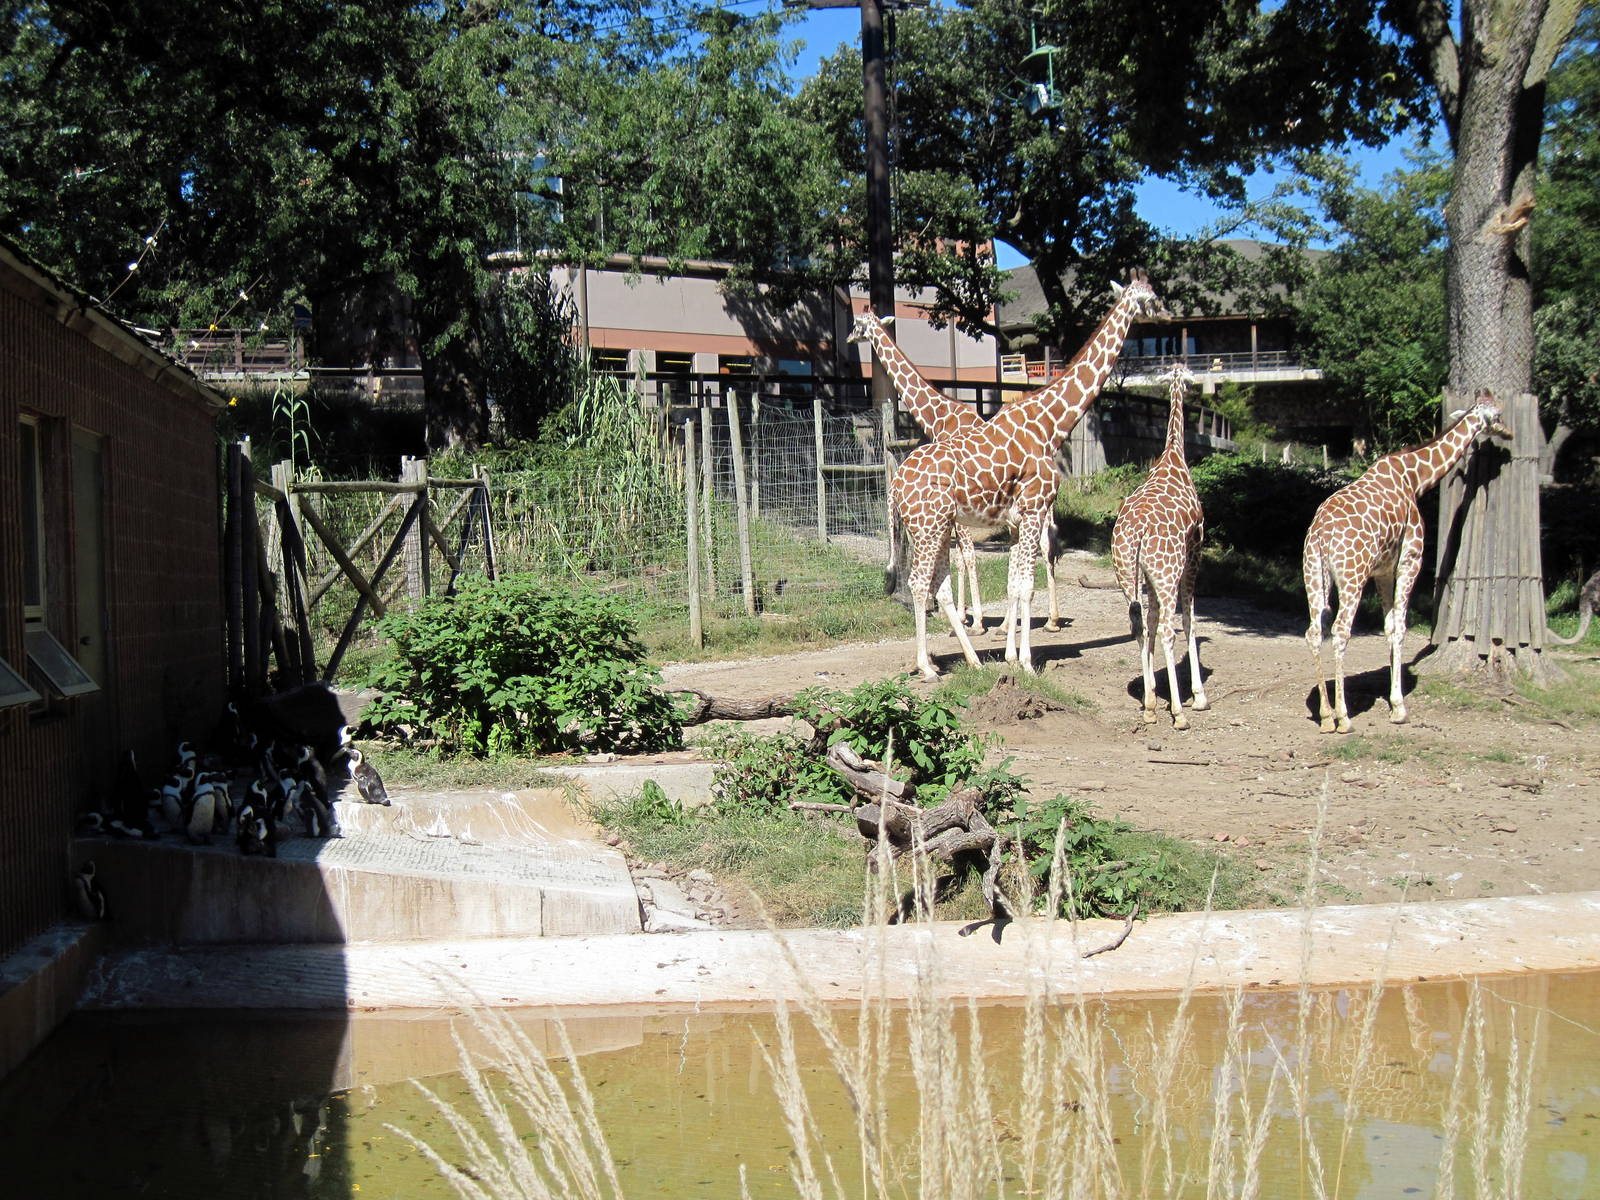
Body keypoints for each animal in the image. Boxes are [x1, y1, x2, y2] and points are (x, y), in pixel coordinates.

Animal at [846, 311, 1063, 634]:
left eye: (858, 324)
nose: (849, 337)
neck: (940, 416)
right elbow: (961, 557)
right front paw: (964, 617)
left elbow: (966, 558)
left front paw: (973, 621)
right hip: (1033, 510)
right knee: (1045, 548)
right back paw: (1048, 620)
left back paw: (1013, 623)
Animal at [891, 270, 1167, 679]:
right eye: (1150, 297)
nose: (1165, 315)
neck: (1050, 425)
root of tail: (895, 485)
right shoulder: (1034, 508)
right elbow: (1023, 585)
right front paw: (1024, 662)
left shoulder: (1021, 517)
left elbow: (1016, 584)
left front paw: (1010, 655)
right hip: (930, 527)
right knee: (920, 581)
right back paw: (928, 667)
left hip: (930, 528)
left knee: (935, 582)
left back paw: (965, 659)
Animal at [1111, 361, 1208, 729]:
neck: (1174, 455)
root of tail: (1137, 531)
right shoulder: (1193, 556)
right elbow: (1190, 620)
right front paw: (1199, 697)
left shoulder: (1150, 578)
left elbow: (1149, 621)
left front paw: (1153, 692)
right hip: (1167, 572)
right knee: (1168, 628)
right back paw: (1179, 713)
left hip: (1126, 571)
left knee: (1139, 624)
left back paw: (1151, 704)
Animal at [1302, 392, 1511, 733]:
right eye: (1498, 415)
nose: (1509, 434)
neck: (1415, 477)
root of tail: (1320, 534)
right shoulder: (1410, 558)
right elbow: (1400, 628)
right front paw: (1399, 708)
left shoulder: (1383, 570)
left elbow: (1389, 627)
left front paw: (1394, 699)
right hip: (1352, 576)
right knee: (1341, 631)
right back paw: (1343, 717)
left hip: (1313, 573)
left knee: (1314, 631)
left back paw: (1325, 716)